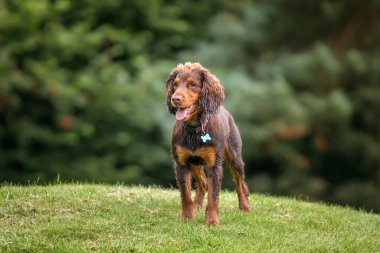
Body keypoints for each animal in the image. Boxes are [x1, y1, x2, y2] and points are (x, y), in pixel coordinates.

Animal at [166, 62, 249, 224]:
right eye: (175, 85)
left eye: (193, 85)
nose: (175, 98)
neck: (195, 129)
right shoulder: (181, 163)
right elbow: (185, 194)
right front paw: (187, 217)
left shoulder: (214, 165)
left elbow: (213, 196)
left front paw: (211, 221)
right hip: (195, 162)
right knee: (203, 183)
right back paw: (197, 204)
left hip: (235, 157)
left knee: (240, 184)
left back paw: (245, 207)